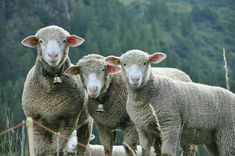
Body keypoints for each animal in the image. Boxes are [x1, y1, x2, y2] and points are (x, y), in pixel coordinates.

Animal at [21, 25, 92, 155]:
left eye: (64, 40)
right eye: (40, 41)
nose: (53, 55)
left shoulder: (69, 120)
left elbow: (57, 149)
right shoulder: (36, 120)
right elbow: (42, 150)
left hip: (86, 123)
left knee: (82, 147)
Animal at [65, 54, 196, 156]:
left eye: (103, 69)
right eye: (81, 71)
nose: (93, 89)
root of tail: (181, 72)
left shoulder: (132, 124)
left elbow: (128, 149)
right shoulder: (103, 125)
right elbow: (107, 149)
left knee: (189, 148)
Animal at [105, 49, 235, 156]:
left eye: (145, 63)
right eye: (124, 64)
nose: (135, 79)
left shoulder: (170, 124)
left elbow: (167, 153)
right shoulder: (142, 127)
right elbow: (145, 151)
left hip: (228, 135)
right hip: (213, 139)